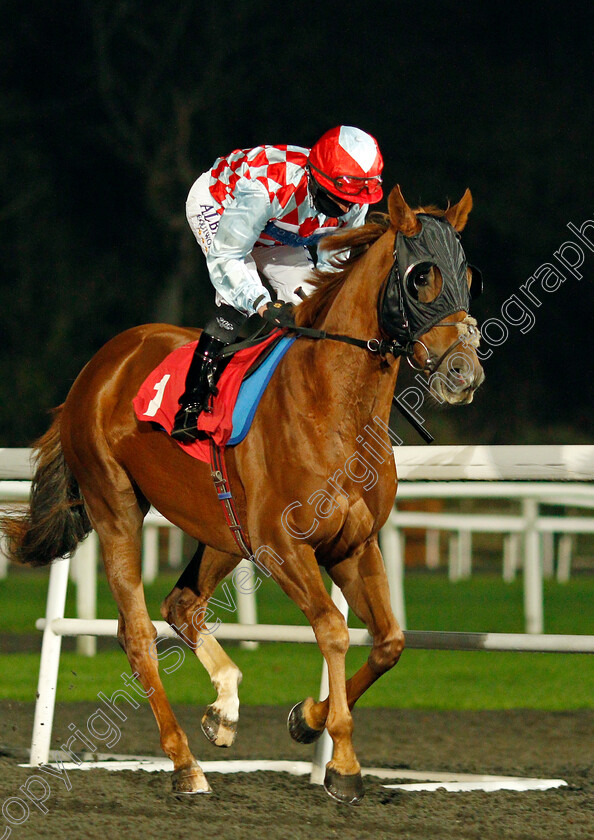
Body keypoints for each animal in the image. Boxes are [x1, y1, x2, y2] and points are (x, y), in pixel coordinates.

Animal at [2, 187, 484, 804]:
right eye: (422, 277)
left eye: (467, 274)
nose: (463, 372)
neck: (334, 408)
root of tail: (101, 364)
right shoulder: (283, 544)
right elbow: (332, 629)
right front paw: (344, 762)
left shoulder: (354, 544)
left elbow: (389, 641)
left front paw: (307, 719)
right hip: (116, 507)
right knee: (137, 631)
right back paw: (185, 764)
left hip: (222, 529)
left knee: (180, 605)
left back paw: (224, 707)